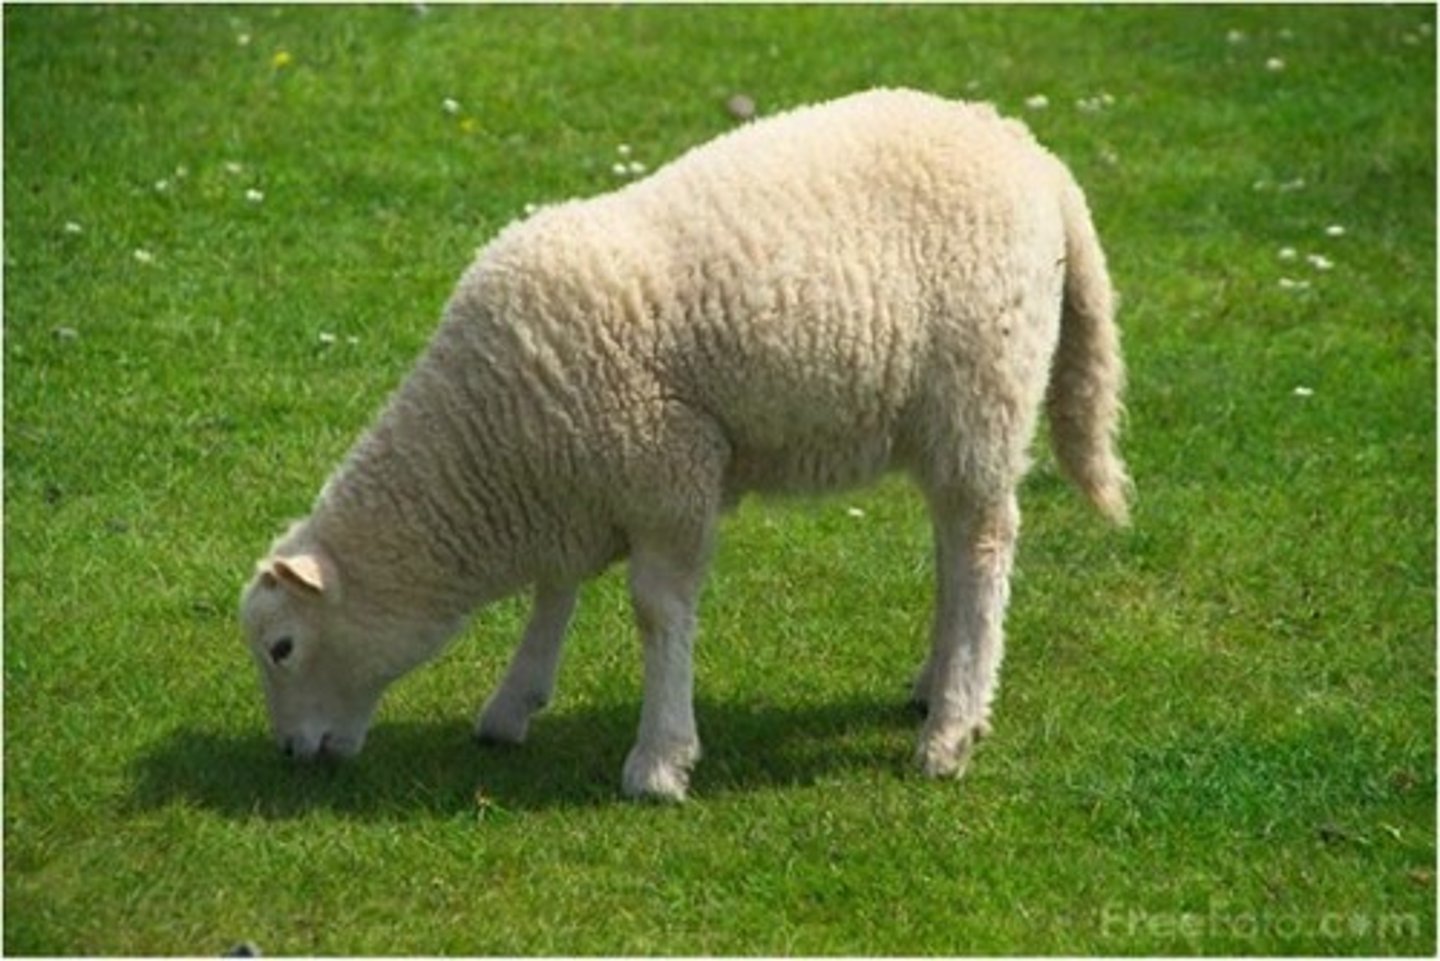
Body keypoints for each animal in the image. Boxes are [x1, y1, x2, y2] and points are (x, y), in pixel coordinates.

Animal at [238, 87, 1130, 802]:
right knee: (953, 546)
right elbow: (553, 592)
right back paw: (933, 684)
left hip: (982, 390)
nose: (290, 753)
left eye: (283, 647)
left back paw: (950, 728)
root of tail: (1029, 151)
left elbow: (656, 612)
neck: (488, 445)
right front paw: (513, 701)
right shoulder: (580, 483)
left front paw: (660, 760)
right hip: (943, 414)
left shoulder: (666, 476)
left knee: (982, 549)